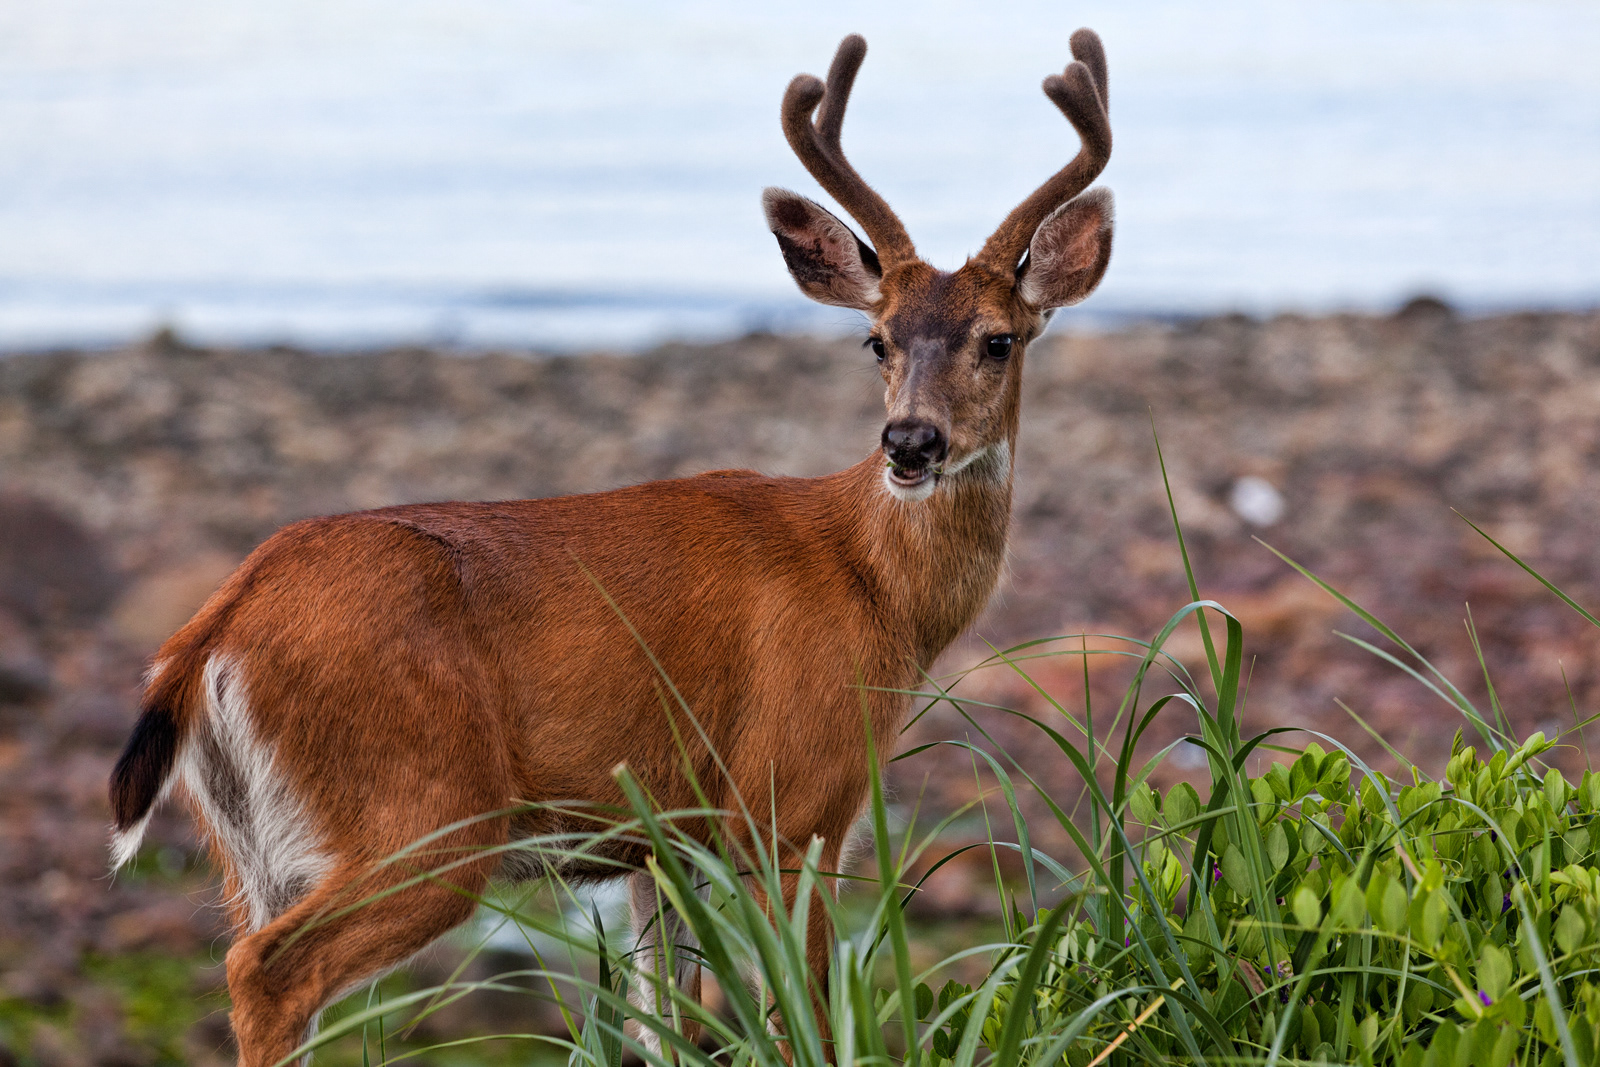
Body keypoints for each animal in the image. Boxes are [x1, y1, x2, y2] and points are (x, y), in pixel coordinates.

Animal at [107, 28, 1113, 1067]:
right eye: (875, 340)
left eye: (998, 339)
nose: (910, 442)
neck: (874, 583)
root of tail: (216, 627)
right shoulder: (790, 801)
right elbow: (804, 1018)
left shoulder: (664, 840)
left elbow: (665, 1020)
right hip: (419, 812)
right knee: (270, 969)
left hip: (252, 847)